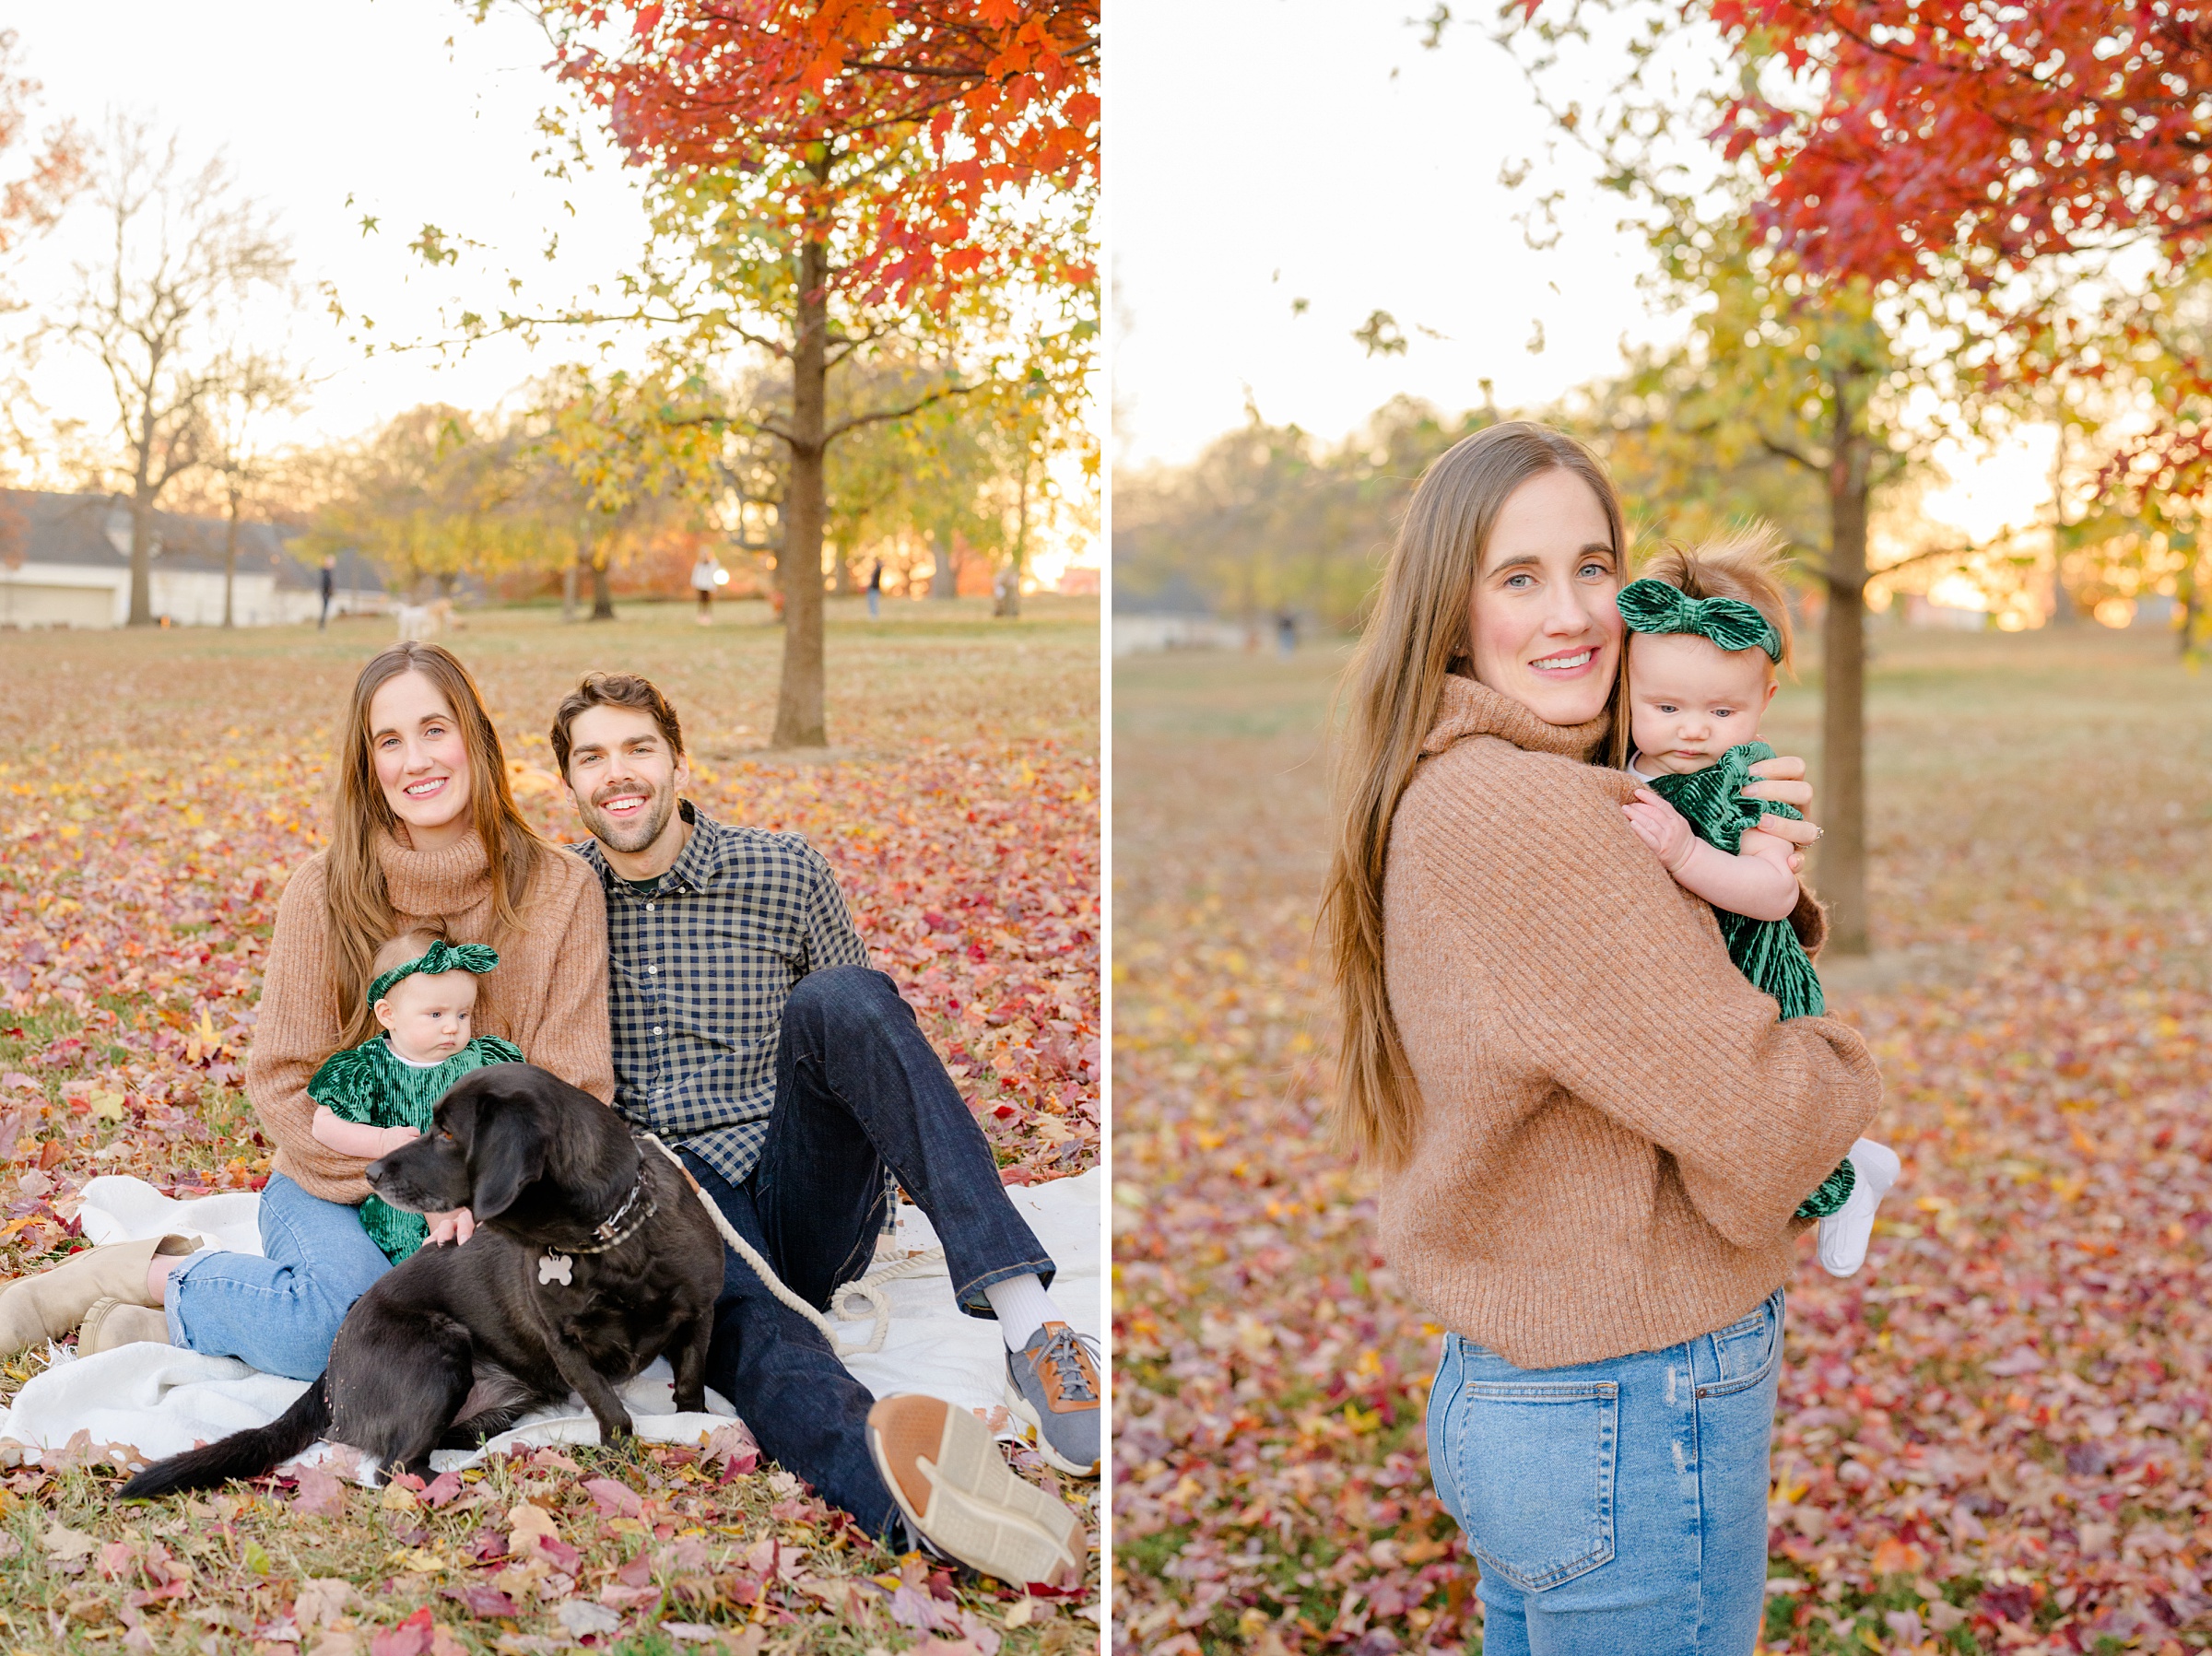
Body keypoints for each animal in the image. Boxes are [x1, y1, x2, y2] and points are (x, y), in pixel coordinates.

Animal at [123, 1065, 725, 1494]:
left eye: (447, 1133)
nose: (370, 1172)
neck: (609, 1237)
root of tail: (331, 1372)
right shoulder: (567, 1347)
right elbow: (614, 1414)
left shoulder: (699, 1315)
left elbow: (691, 1386)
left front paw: (699, 1430)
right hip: (440, 1350)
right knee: (393, 1467)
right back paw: (471, 1483)